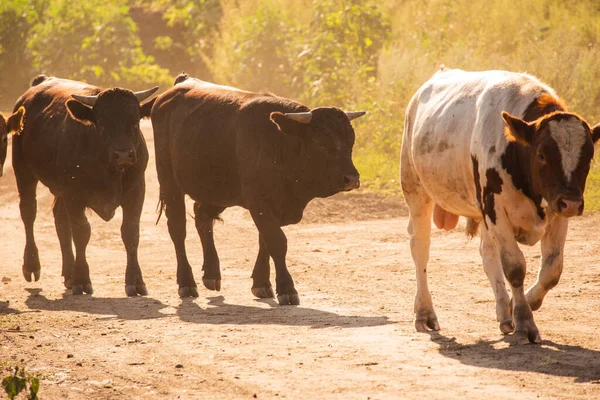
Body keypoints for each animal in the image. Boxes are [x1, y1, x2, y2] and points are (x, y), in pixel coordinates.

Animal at [12, 75, 157, 296]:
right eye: (102, 124)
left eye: (135, 122)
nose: (124, 155)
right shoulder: (74, 194)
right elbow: (82, 232)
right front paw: (82, 279)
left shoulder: (136, 189)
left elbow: (130, 232)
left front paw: (135, 281)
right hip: (23, 171)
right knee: (29, 212)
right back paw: (32, 265)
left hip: (59, 190)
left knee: (60, 221)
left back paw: (69, 274)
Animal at [150, 74, 366, 304]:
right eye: (320, 143)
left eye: (351, 142)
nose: (352, 178)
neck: (279, 143)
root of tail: (180, 85)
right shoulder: (258, 201)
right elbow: (276, 241)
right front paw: (286, 288)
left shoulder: (274, 206)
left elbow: (265, 242)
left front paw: (262, 283)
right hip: (170, 183)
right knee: (177, 230)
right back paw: (186, 282)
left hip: (218, 192)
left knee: (202, 217)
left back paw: (211, 273)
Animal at [398, 69, 600, 344]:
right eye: (541, 155)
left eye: (588, 156)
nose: (571, 202)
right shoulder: (495, 209)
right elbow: (514, 267)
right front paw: (525, 321)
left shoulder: (556, 214)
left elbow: (552, 270)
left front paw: (523, 305)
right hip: (416, 189)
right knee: (420, 248)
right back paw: (425, 313)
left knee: (487, 254)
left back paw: (505, 314)